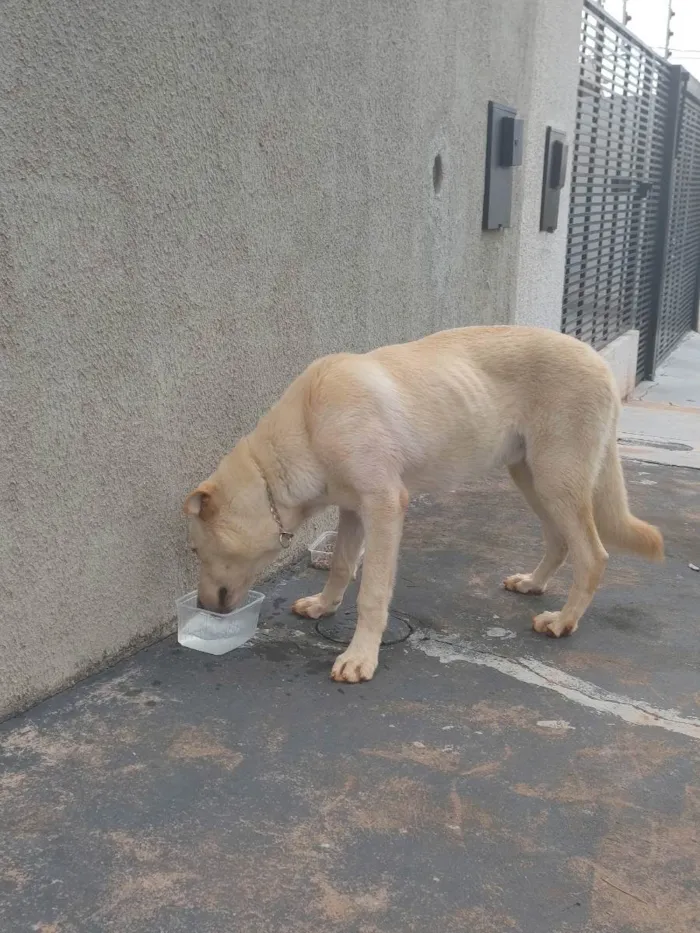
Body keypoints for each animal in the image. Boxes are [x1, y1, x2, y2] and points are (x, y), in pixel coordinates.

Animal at [183, 324, 664, 680]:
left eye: (195, 550)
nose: (202, 608)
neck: (310, 424)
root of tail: (597, 359)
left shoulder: (384, 505)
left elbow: (372, 592)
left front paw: (361, 656)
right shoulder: (353, 510)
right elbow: (341, 565)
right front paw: (324, 605)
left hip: (557, 481)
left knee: (593, 554)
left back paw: (563, 621)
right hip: (532, 479)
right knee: (560, 542)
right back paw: (533, 583)